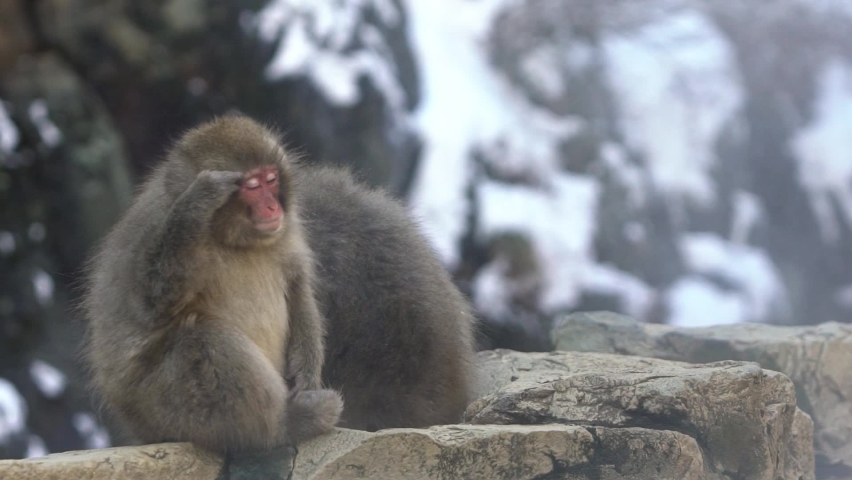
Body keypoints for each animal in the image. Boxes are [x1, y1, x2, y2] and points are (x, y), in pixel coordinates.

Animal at [82, 116, 342, 454]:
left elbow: (298, 290)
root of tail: (141, 430)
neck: (233, 239)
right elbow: (148, 305)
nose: (273, 208)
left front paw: (306, 377)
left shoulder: (288, 232)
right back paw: (284, 426)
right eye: (252, 187)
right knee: (201, 338)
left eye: (271, 179)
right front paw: (198, 200)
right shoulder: (152, 224)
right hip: (160, 408)